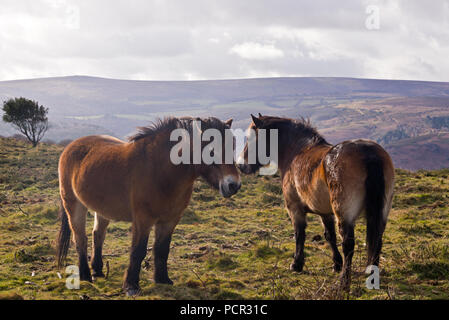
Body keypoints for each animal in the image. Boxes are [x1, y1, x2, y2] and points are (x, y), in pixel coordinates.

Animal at [56, 116, 242, 296]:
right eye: (211, 149)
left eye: (232, 146)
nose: (234, 185)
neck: (161, 171)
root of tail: (70, 147)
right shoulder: (143, 220)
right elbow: (138, 251)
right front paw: (131, 286)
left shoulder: (169, 221)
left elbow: (162, 250)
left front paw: (162, 279)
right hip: (74, 205)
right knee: (80, 238)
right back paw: (86, 276)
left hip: (102, 209)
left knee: (98, 235)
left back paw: (98, 271)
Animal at [238, 114, 392, 290]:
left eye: (251, 138)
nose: (241, 166)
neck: (296, 151)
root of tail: (369, 154)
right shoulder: (325, 212)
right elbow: (329, 236)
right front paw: (336, 264)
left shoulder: (295, 209)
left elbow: (299, 234)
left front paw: (296, 264)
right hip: (381, 214)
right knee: (377, 241)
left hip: (345, 215)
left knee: (348, 245)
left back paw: (343, 282)